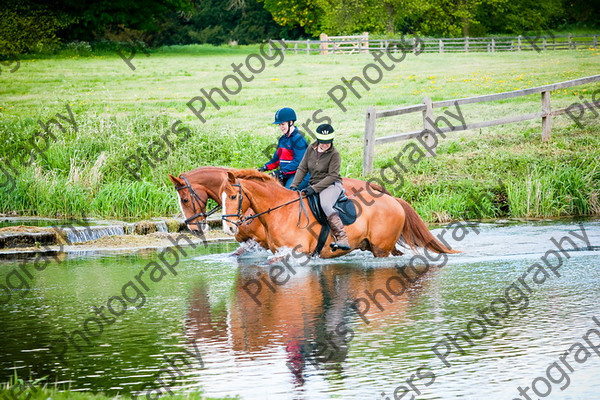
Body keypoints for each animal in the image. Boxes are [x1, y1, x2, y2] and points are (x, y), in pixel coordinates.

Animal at [220, 170, 460, 260]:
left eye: (232, 196)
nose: (228, 228)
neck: (280, 210)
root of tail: (394, 200)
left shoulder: (295, 253)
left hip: (381, 248)